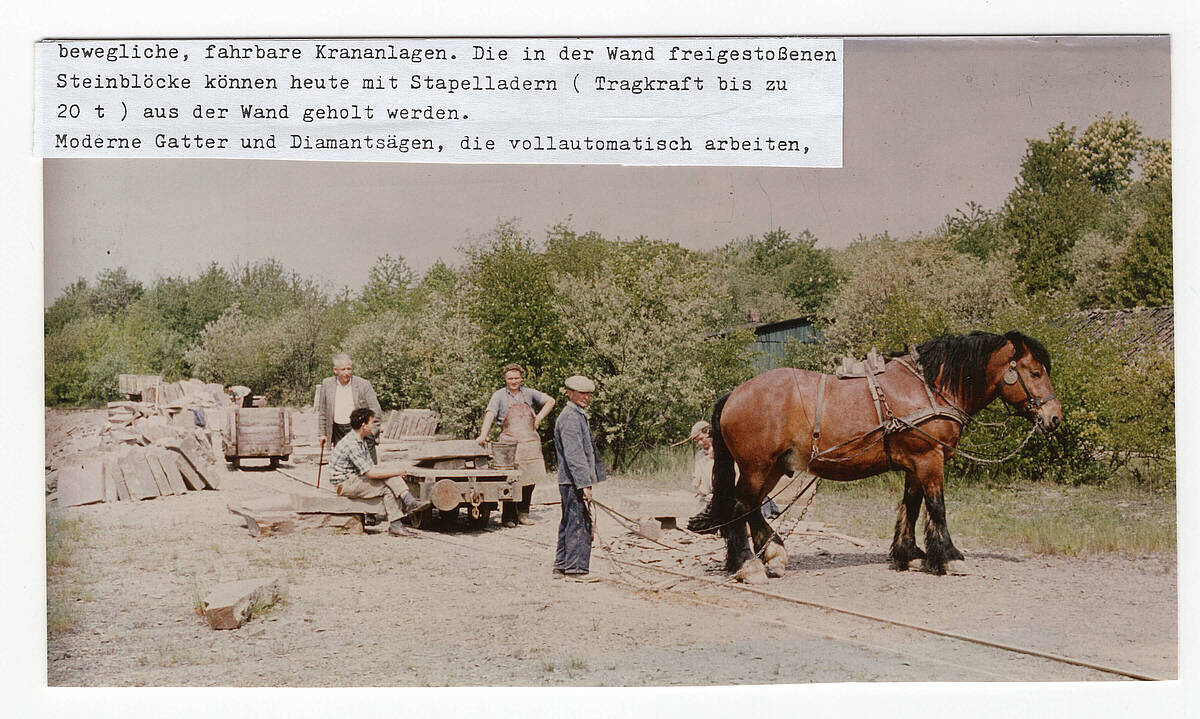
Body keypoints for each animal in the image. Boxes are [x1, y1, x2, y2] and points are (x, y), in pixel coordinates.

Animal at [691, 333, 1065, 578]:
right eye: (1035, 372)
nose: (1054, 417)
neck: (930, 388)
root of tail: (734, 393)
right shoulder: (930, 458)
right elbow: (937, 507)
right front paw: (949, 557)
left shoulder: (916, 464)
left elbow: (911, 506)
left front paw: (910, 555)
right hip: (758, 465)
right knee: (741, 505)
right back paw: (749, 563)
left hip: (773, 467)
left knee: (751, 505)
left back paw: (773, 553)